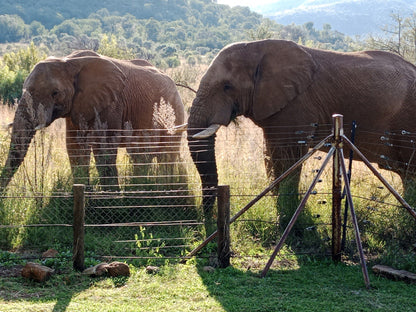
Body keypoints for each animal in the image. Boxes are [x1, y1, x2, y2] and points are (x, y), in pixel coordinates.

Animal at [0, 50, 185, 190]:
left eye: (55, 93)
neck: (69, 61)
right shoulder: (76, 107)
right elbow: (75, 147)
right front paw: (85, 193)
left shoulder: (111, 104)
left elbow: (103, 148)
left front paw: (110, 201)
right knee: (141, 155)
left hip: (175, 113)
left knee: (166, 154)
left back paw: (165, 188)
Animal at [188, 38, 416, 234]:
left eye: (227, 86)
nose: (209, 220)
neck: (258, 48)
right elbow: (270, 155)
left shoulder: (296, 105)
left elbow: (288, 156)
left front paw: (285, 219)